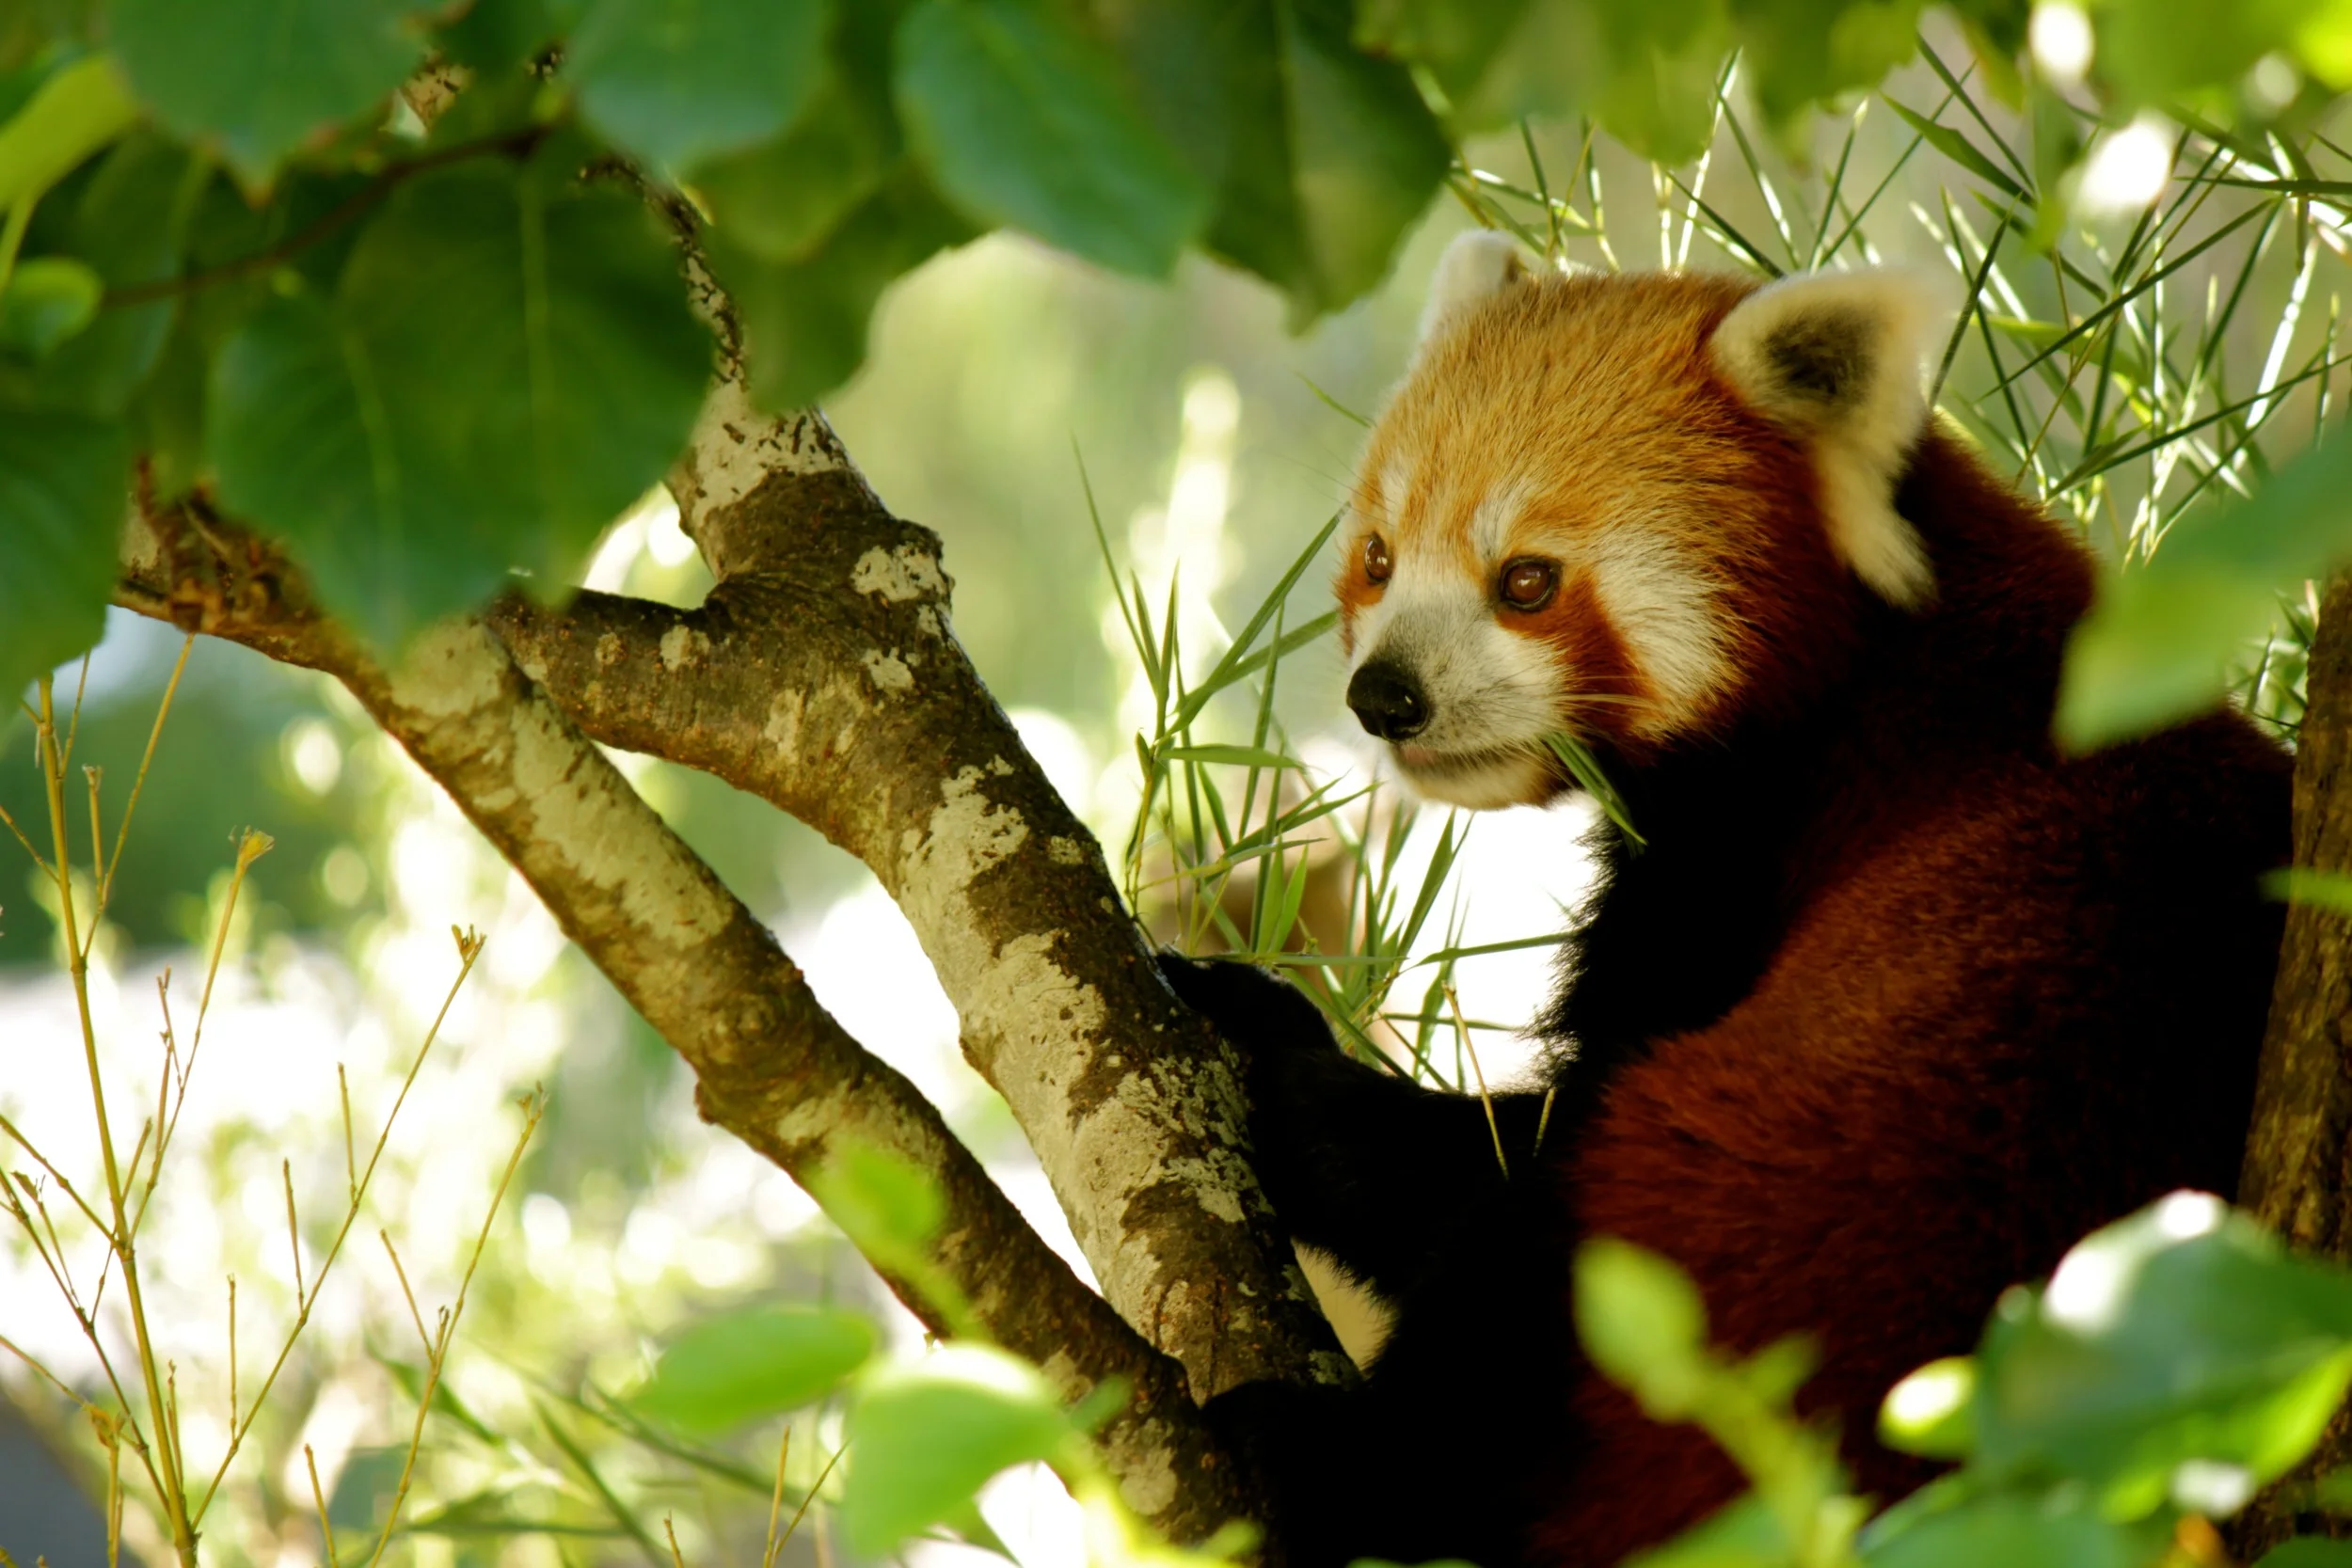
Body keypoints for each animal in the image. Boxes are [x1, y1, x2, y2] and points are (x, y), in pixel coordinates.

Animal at [1158, 232, 2292, 1568]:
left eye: (1525, 581)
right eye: (1379, 556)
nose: (1383, 696)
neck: (1856, 668)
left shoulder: (1748, 852)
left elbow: (1518, 1127)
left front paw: (1274, 1053)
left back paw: (1335, 1467)